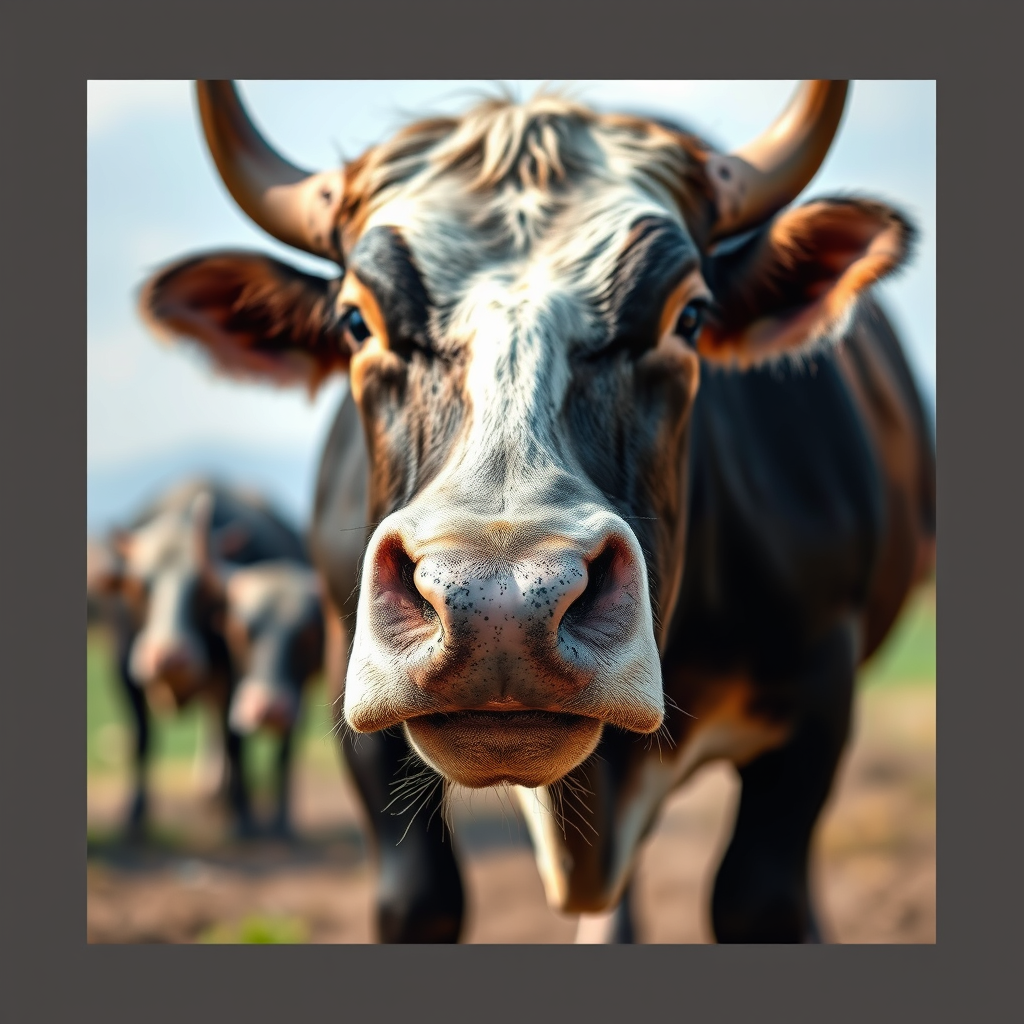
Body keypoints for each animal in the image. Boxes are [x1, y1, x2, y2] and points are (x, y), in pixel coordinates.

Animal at [87, 478, 310, 838]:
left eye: (203, 587)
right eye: (140, 585)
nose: (169, 656)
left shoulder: (235, 675)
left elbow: (235, 744)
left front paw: (242, 815)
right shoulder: (122, 670)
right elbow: (142, 739)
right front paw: (135, 815)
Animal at [139, 80, 935, 942]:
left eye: (688, 317)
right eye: (356, 321)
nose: (503, 609)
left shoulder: (817, 702)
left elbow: (759, 898)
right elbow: (417, 900)